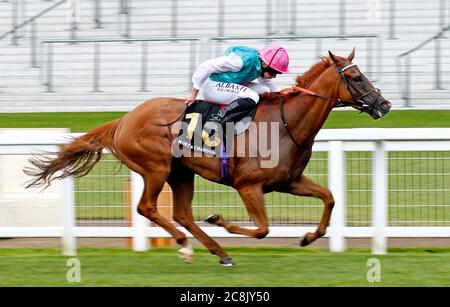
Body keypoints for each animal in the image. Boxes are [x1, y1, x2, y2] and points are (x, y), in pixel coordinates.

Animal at [24, 49, 390, 266]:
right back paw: (185, 245)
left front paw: (309, 236)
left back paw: (219, 252)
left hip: (181, 172)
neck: (286, 123)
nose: (384, 104)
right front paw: (219, 219)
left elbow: (329, 197)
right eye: (356, 77)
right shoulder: (248, 185)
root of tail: (124, 120)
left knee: (182, 214)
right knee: (148, 207)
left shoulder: (289, 181)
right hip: (156, 168)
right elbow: (262, 229)